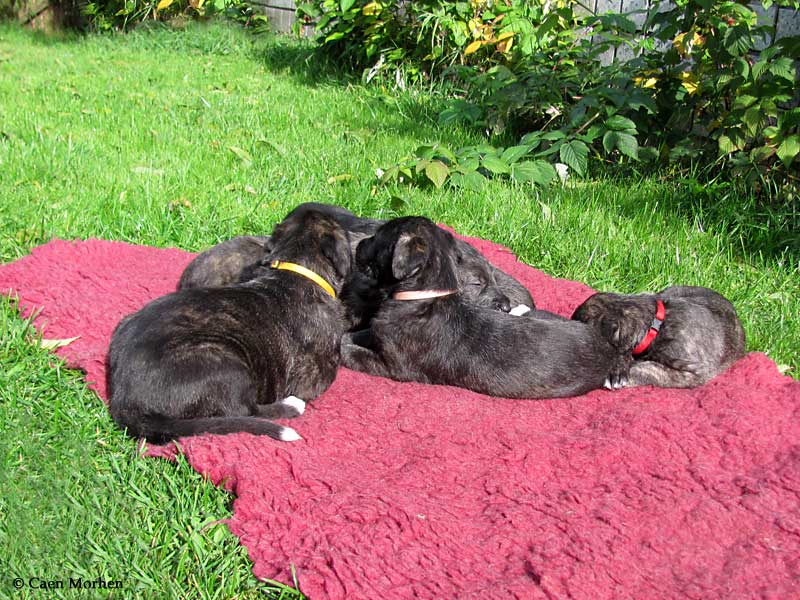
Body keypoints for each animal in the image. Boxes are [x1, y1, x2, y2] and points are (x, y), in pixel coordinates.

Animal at [108, 210, 352, 440]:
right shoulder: (314, 376)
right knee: (244, 410)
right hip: (225, 366)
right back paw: (290, 406)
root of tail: (124, 402)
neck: (298, 268)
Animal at [340, 216, 624, 398]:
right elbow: (358, 334)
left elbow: (352, 353)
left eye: (378, 238)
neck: (424, 296)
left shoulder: (393, 365)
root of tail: (604, 343)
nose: (358, 244)